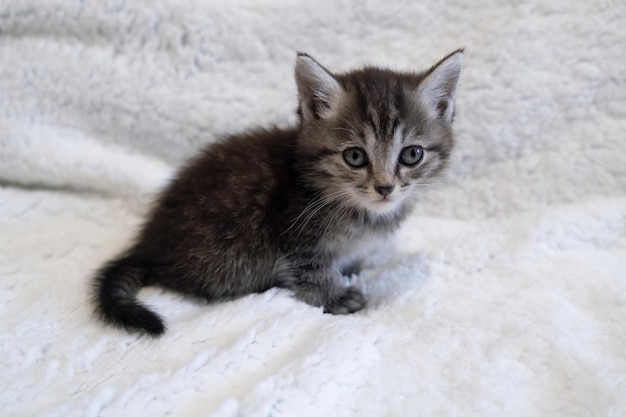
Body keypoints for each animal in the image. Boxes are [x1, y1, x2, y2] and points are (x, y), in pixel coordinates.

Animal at [94, 49, 464, 334]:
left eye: (412, 154)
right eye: (355, 156)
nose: (385, 187)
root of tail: (149, 244)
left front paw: (351, 267)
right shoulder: (293, 237)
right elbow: (311, 272)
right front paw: (337, 297)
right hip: (230, 257)